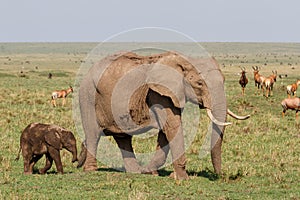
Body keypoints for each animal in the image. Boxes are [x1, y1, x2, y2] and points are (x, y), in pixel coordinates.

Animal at [76, 51, 250, 180]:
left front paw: (151, 172)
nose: (221, 176)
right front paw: (182, 179)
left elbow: (165, 132)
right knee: (93, 134)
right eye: (200, 84)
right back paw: (90, 170)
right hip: (88, 94)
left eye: (224, 80)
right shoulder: (158, 94)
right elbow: (172, 126)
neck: (185, 59)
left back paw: (135, 171)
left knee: (123, 137)